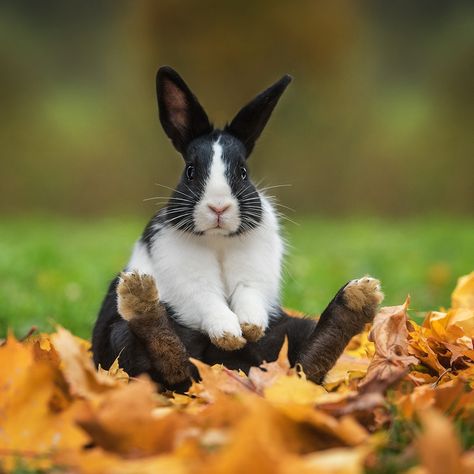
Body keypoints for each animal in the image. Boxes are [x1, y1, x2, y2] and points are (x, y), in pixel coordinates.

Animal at [90, 66, 384, 390]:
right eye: (190, 171)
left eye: (243, 172)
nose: (219, 207)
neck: (218, 240)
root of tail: (232, 370)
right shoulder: (188, 279)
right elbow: (208, 299)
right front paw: (229, 335)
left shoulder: (254, 276)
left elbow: (248, 294)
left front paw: (249, 327)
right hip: (120, 336)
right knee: (170, 364)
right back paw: (141, 298)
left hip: (291, 330)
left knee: (306, 365)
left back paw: (356, 300)